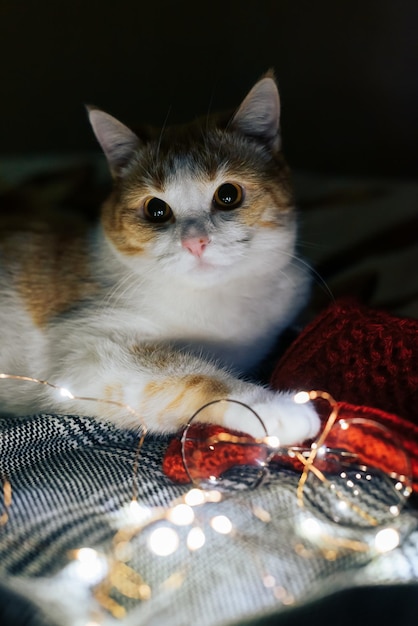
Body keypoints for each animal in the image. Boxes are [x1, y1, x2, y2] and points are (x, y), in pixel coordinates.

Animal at [0, 72, 318, 444]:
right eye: (155, 209)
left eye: (228, 195)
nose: (195, 242)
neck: (217, 301)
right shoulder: (90, 352)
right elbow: (192, 376)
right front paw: (276, 408)